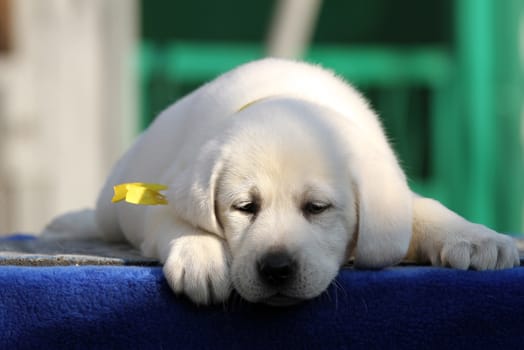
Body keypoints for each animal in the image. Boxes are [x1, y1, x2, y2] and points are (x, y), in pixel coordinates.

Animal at [50, 58, 520, 304]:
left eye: (317, 208)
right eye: (245, 207)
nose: (276, 269)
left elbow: (423, 209)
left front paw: (478, 238)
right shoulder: (163, 198)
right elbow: (179, 221)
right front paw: (204, 257)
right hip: (115, 201)